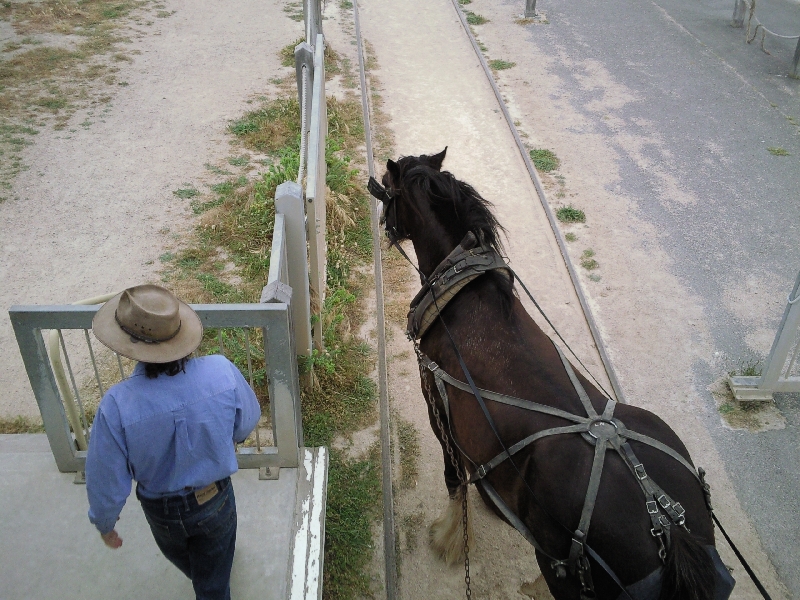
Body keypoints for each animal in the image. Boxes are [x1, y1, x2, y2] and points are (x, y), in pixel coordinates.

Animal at [372, 146, 736, 600]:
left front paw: (451, 537)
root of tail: (667, 524)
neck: (463, 296)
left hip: (561, 568)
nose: (383, 226)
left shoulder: (438, 409)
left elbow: (454, 478)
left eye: (388, 190)